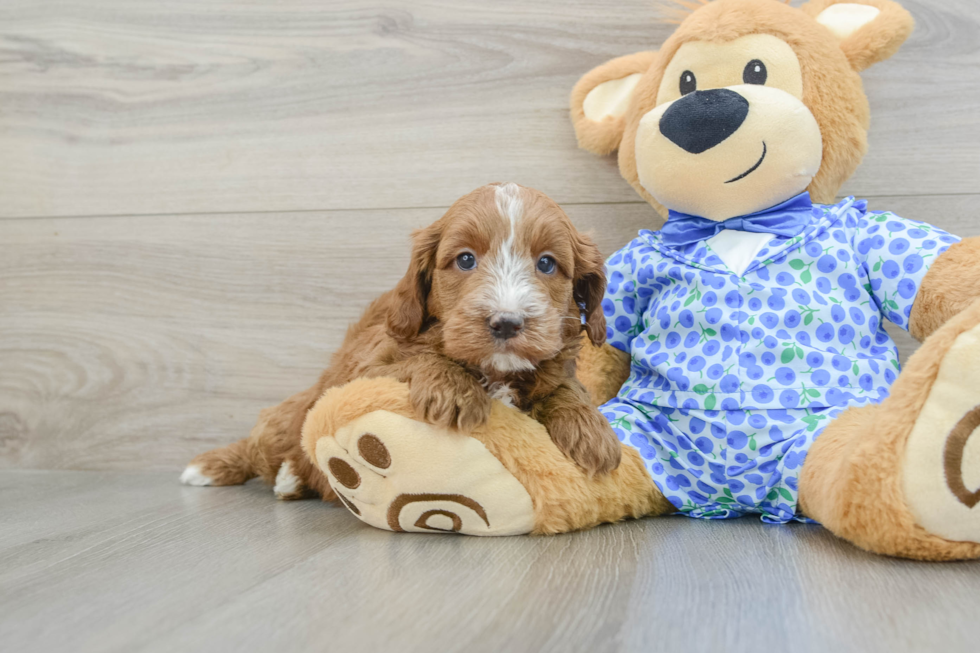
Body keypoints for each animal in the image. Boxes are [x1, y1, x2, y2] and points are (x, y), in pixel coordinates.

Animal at [182, 182, 620, 500]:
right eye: (465, 259)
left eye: (546, 263)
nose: (506, 323)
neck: (494, 370)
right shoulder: (366, 367)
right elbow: (415, 359)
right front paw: (453, 391)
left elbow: (565, 386)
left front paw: (592, 432)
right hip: (287, 420)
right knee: (260, 444)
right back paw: (227, 468)